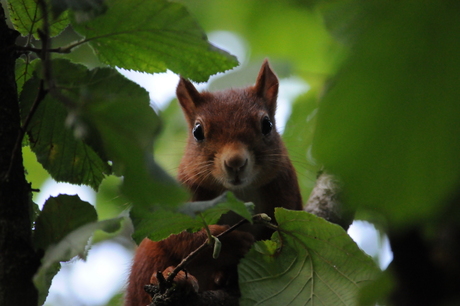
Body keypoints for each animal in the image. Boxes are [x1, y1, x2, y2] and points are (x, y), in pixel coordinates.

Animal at [124, 60, 302, 306]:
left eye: (267, 125)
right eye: (197, 131)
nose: (235, 162)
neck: (238, 193)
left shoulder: (286, 190)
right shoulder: (180, 196)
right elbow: (178, 234)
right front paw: (232, 241)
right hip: (148, 257)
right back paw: (175, 278)